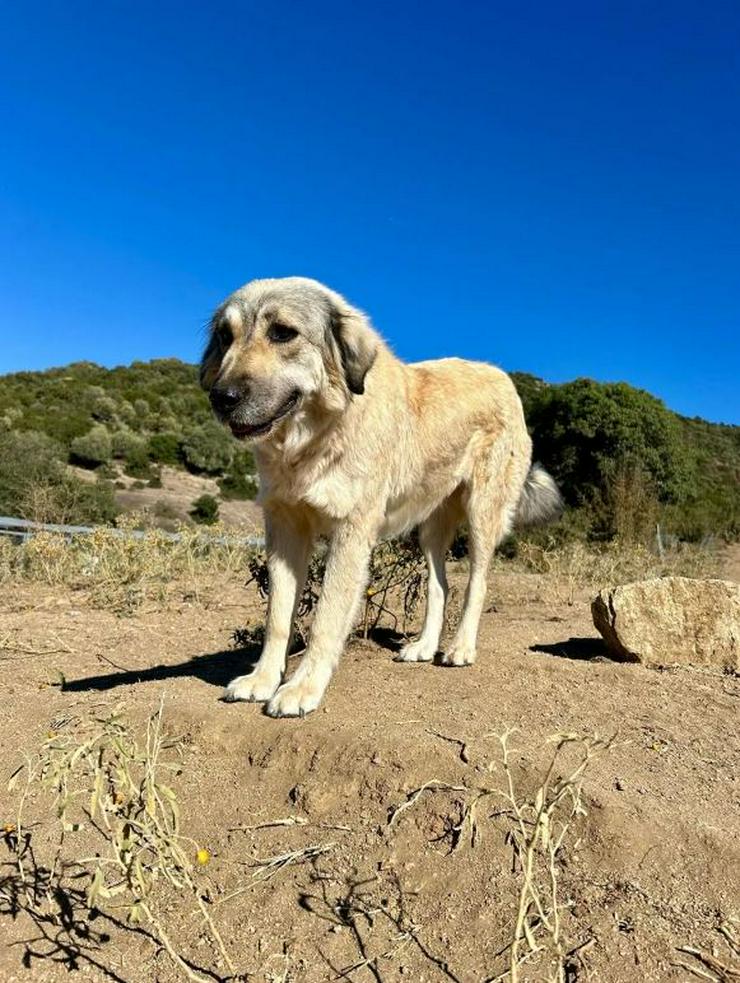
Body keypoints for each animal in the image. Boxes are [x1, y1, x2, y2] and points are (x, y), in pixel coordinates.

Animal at [199, 274, 556, 716]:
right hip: (430, 528)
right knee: (440, 585)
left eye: (283, 333)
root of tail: (502, 376)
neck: (312, 439)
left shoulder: (351, 534)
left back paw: (460, 647)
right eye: (225, 336)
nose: (221, 397)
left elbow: (326, 617)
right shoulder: (284, 528)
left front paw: (302, 687)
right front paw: (262, 679)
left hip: (481, 514)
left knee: (477, 583)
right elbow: (278, 616)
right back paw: (424, 646)